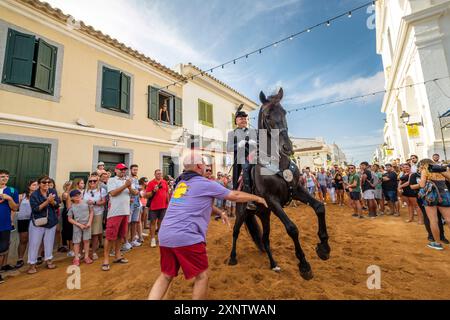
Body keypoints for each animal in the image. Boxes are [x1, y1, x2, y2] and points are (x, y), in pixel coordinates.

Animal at [229, 87, 330, 280]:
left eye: (284, 112)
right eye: (268, 115)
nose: (287, 147)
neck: (278, 163)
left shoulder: (296, 190)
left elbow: (319, 207)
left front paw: (324, 247)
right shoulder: (272, 200)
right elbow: (292, 228)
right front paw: (304, 265)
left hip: (264, 214)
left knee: (265, 239)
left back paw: (273, 264)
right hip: (242, 213)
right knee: (236, 232)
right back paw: (232, 258)